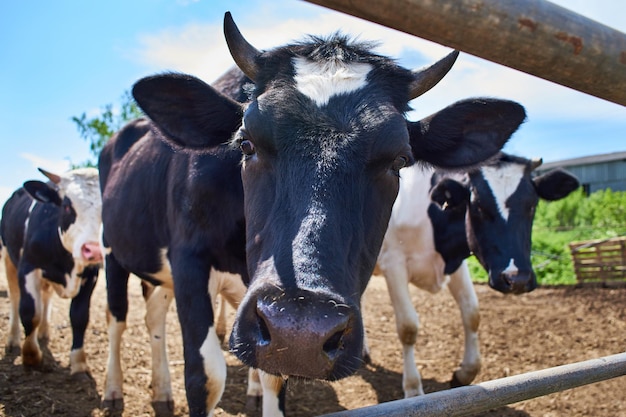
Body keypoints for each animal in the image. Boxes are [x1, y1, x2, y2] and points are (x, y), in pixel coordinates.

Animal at [0, 167, 102, 376]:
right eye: (67, 206)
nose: (94, 250)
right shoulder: (28, 267)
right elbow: (30, 311)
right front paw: (31, 355)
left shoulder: (91, 276)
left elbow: (79, 317)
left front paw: (78, 362)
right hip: (8, 258)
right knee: (14, 298)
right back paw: (13, 339)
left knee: (46, 297)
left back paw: (44, 332)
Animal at [98, 13, 528, 416]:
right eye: (245, 143)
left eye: (400, 161)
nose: (300, 330)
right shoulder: (189, 260)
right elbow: (206, 378)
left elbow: (273, 380)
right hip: (112, 250)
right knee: (118, 318)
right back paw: (113, 390)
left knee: (153, 317)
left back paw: (162, 392)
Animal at [370, 152, 580, 396]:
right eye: (479, 206)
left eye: (532, 205)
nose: (517, 279)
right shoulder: (393, 264)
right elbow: (408, 327)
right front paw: (413, 388)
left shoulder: (457, 265)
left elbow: (472, 313)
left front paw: (464, 374)